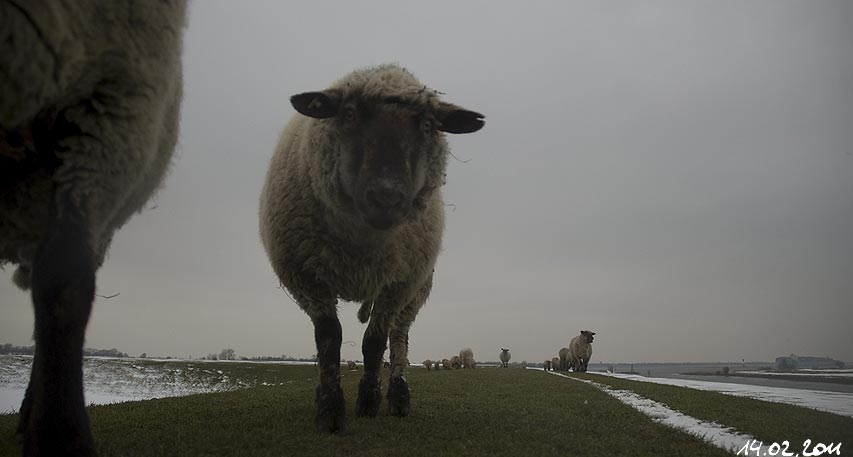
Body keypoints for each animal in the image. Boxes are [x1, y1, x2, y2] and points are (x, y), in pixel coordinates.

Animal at [259, 64, 484, 434]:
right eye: (349, 114)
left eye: (427, 125)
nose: (386, 196)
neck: (361, 245)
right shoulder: (307, 277)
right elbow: (329, 338)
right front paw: (330, 410)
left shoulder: (398, 283)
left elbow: (375, 342)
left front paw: (368, 401)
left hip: (415, 290)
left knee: (399, 338)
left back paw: (398, 396)